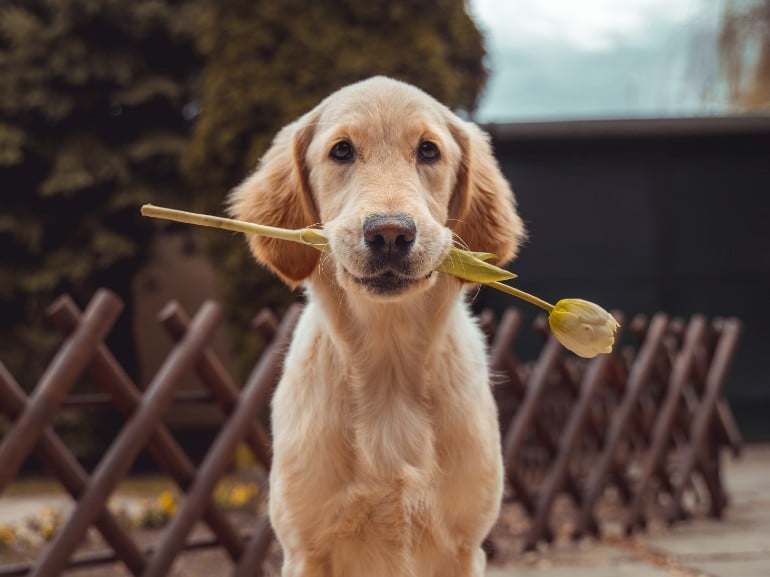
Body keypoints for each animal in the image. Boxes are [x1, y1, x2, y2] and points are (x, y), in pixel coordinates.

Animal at [230, 76, 520, 576]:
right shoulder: (305, 549)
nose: (389, 234)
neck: (390, 363)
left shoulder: (466, 547)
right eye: (342, 151)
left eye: (428, 151)